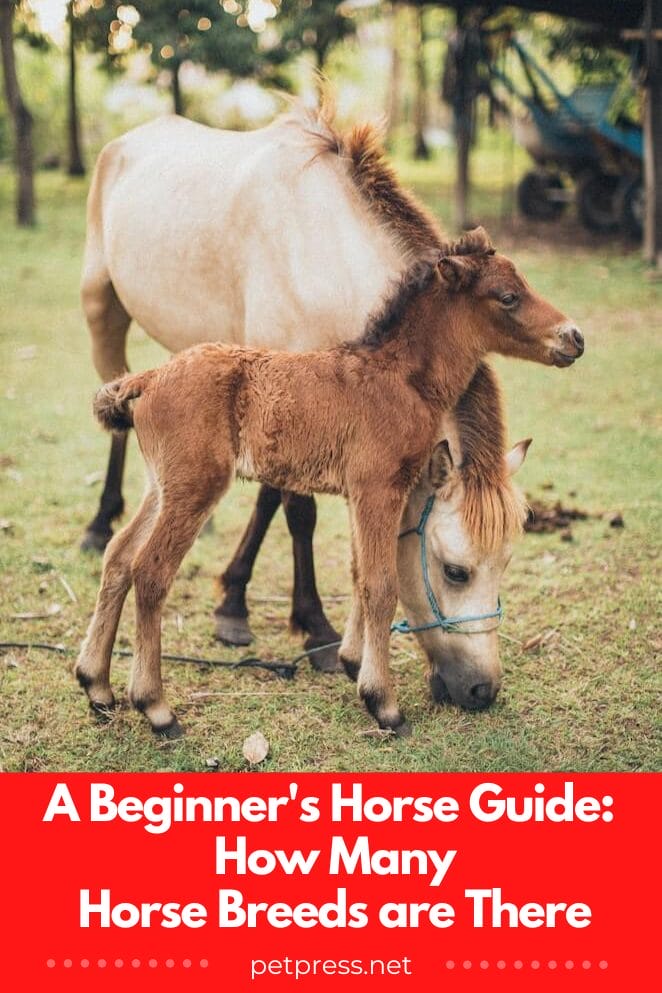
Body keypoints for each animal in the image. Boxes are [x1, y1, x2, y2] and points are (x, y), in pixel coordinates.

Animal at [75, 228, 579, 738]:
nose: (573, 337)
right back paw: (156, 707)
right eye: (509, 296)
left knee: (119, 556)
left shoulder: (361, 493)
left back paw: (97, 685)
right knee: (150, 571)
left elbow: (359, 573)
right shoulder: (379, 486)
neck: (400, 378)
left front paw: (354, 664)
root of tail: (150, 376)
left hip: (161, 485)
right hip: (195, 487)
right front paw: (384, 704)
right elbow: (381, 584)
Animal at [80, 105, 584, 671]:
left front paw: (237, 601)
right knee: (117, 422)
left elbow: (272, 497)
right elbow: (299, 512)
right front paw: (313, 626)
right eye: (454, 569)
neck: (321, 251)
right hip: (102, 312)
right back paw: (99, 524)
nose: (573, 337)